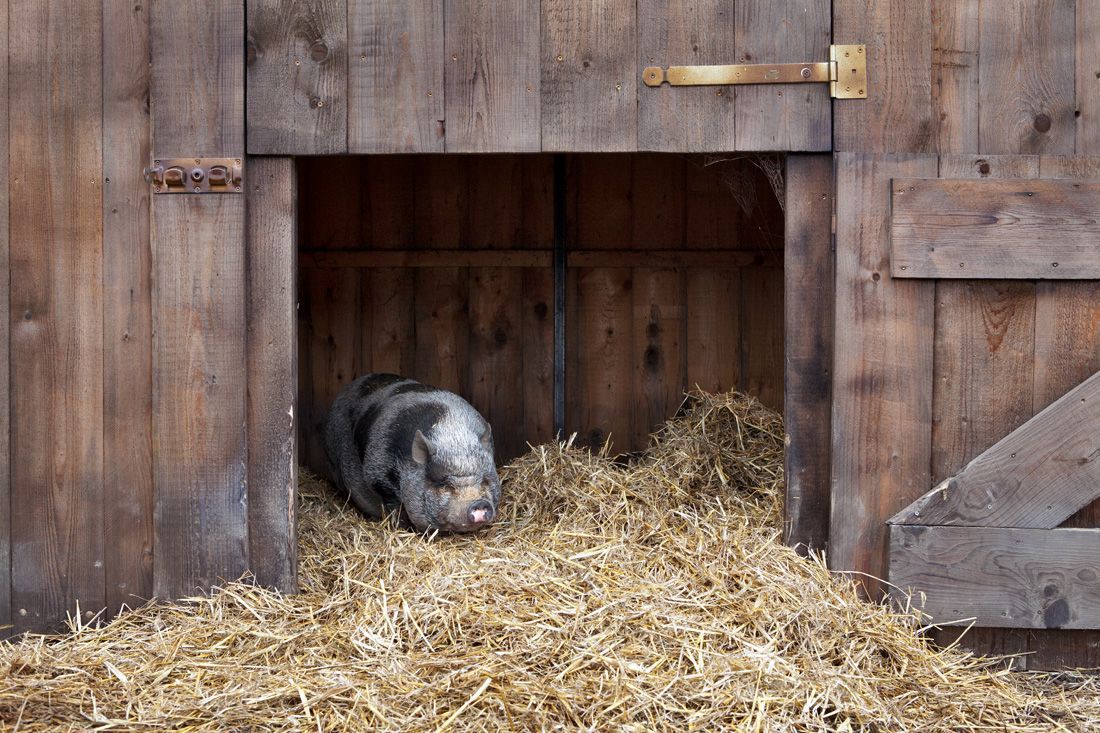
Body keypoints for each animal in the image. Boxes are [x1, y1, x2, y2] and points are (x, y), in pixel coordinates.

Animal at [323, 373, 501, 533]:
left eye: (485, 480)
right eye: (444, 485)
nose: (478, 503)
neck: (452, 433)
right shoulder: (379, 477)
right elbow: (395, 508)